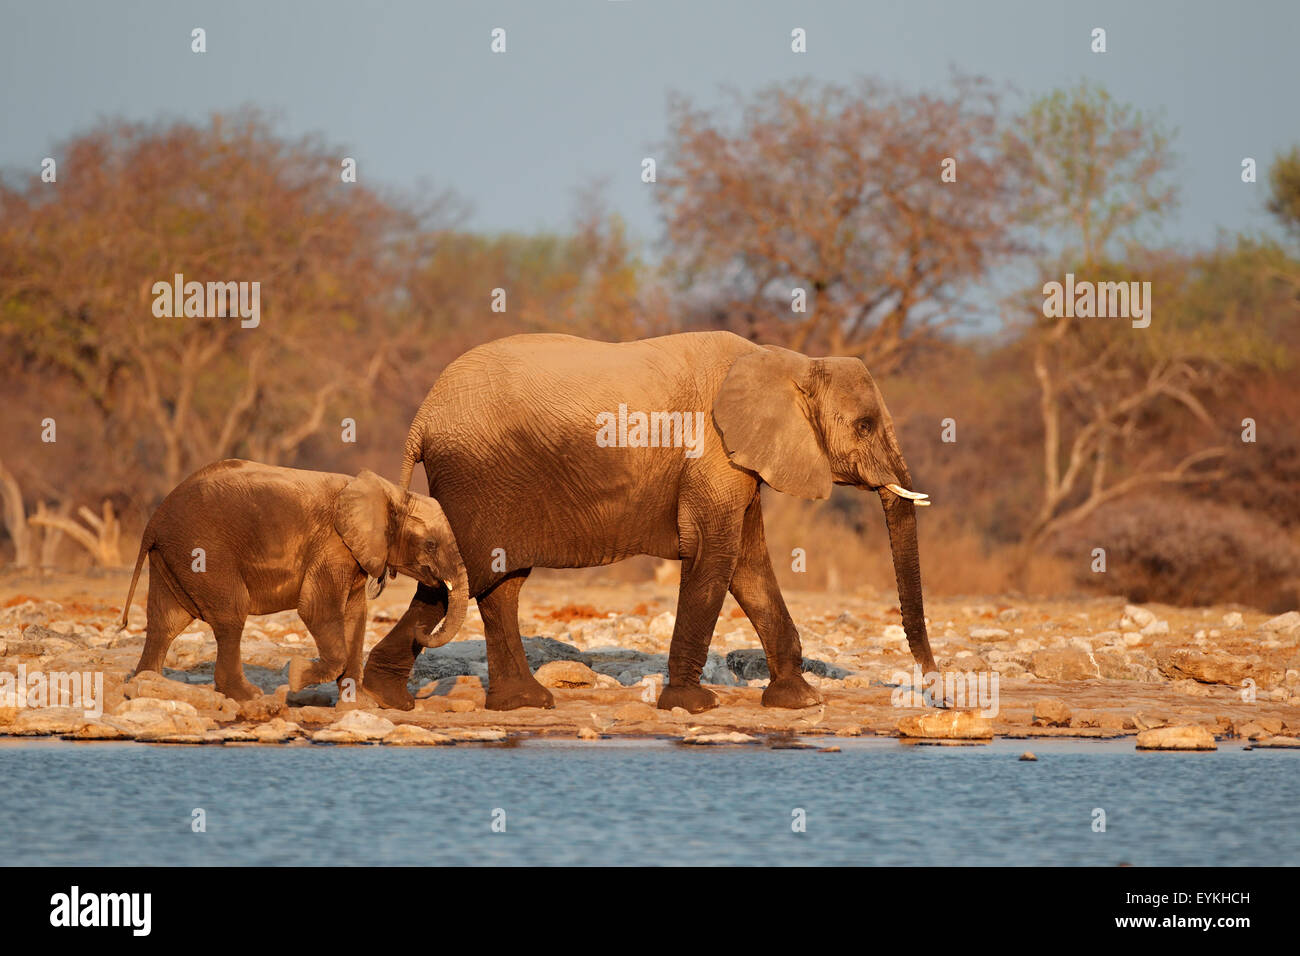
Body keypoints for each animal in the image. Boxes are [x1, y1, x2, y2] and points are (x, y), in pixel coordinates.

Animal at [119, 460, 470, 707]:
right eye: (430, 545)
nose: (421, 630)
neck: (390, 494)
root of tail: (154, 521)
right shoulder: (332, 545)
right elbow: (317, 609)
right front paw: (297, 675)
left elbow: (355, 617)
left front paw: (358, 704)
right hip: (201, 551)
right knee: (230, 616)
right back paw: (248, 696)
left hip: (173, 556)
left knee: (165, 623)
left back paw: (146, 685)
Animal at [364, 332, 935, 712]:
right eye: (865, 426)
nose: (931, 680)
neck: (788, 361)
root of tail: (421, 418)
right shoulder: (713, 452)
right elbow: (716, 556)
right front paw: (692, 705)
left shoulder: (738, 462)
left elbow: (748, 565)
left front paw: (800, 700)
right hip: (477, 478)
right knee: (464, 577)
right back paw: (391, 697)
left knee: (498, 582)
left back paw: (513, 702)